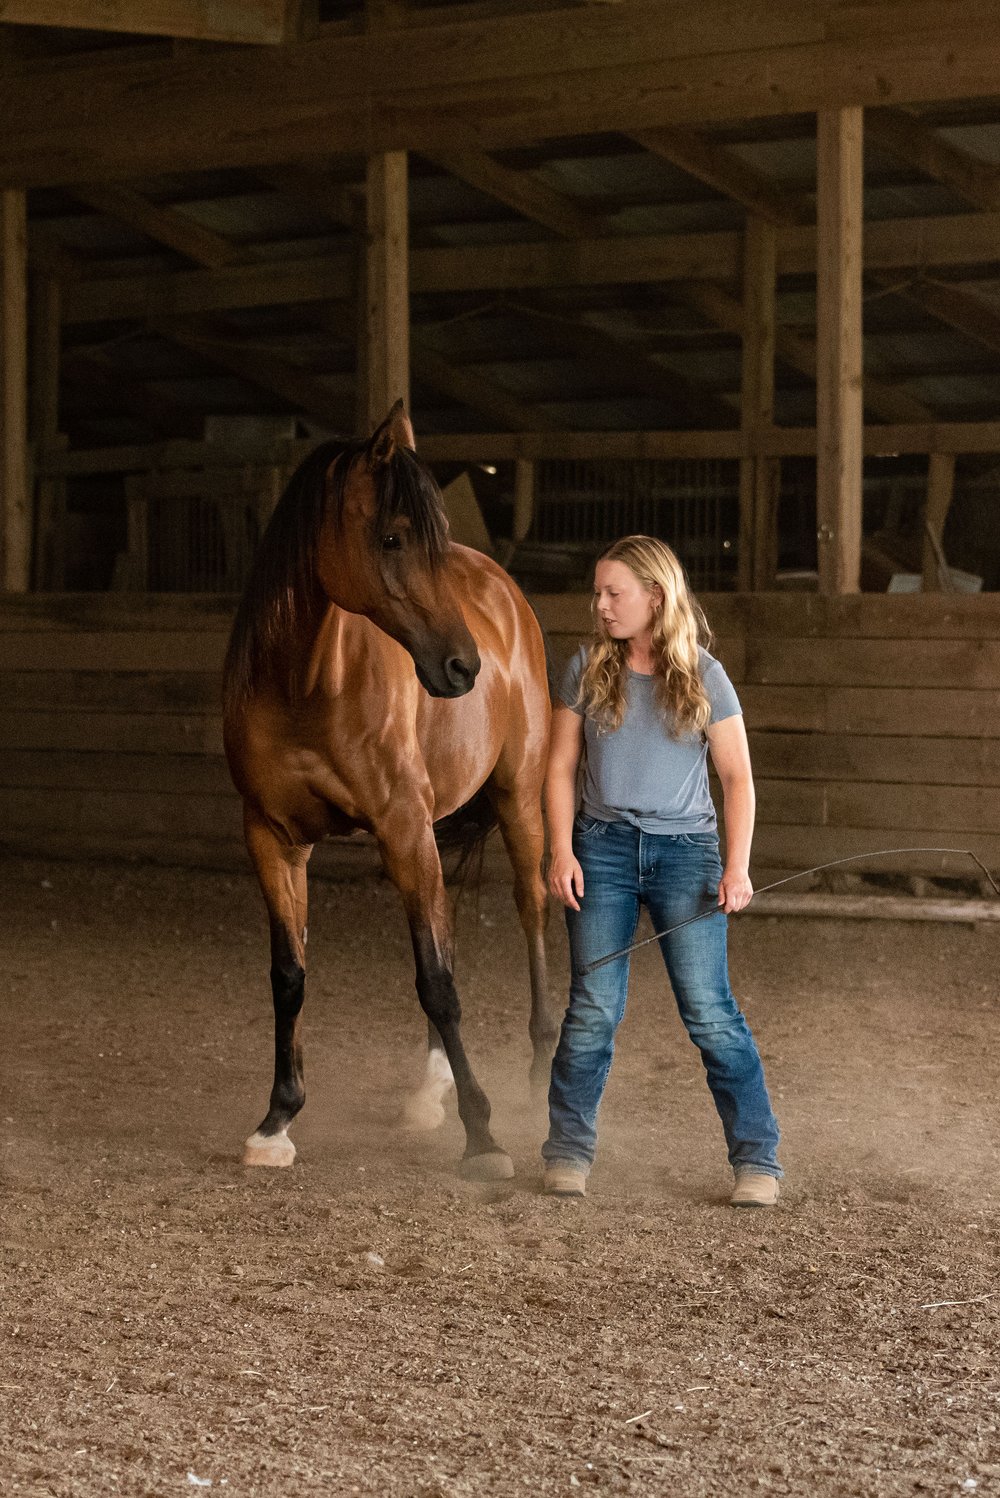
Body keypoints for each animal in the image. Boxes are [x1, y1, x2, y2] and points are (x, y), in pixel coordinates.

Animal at [221, 401, 559, 1180]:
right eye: (392, 537)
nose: (464, 666)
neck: (307, 684)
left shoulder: (402, 828)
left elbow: (435, 982)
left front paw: (483, 1136)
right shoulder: (273, 840)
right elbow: (290, 974)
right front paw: (277, 1119)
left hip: (516, 798)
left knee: (531, 907)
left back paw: (536, 1076)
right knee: (448, 925)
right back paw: (430, 1089)